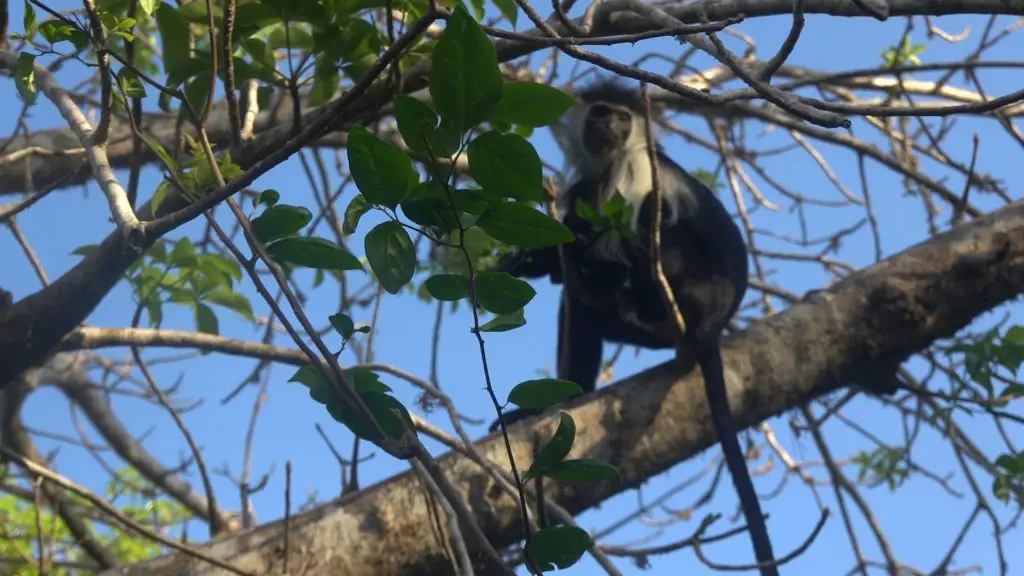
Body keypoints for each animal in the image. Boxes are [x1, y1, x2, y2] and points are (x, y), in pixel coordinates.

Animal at [493, 79, 774, 569]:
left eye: (622, 118)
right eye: (600, 113)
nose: (609, 125)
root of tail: (715, 318)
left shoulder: (631, 175)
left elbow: (610, 245)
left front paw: (560, 263)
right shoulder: (587, 181)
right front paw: (531, 259)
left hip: (684, 287)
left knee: (641, 249)